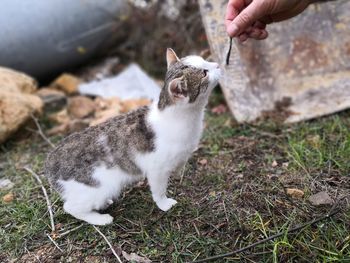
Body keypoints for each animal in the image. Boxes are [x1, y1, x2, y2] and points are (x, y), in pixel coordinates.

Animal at [43, 48, 220, 226]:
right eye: (204, 73)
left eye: (204, 60)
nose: (218, 64)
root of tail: (50, 160)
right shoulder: (157, 169)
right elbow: (159, 190)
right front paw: (164, 204)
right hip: (97, 187)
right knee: (71, 207)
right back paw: (100, 219)